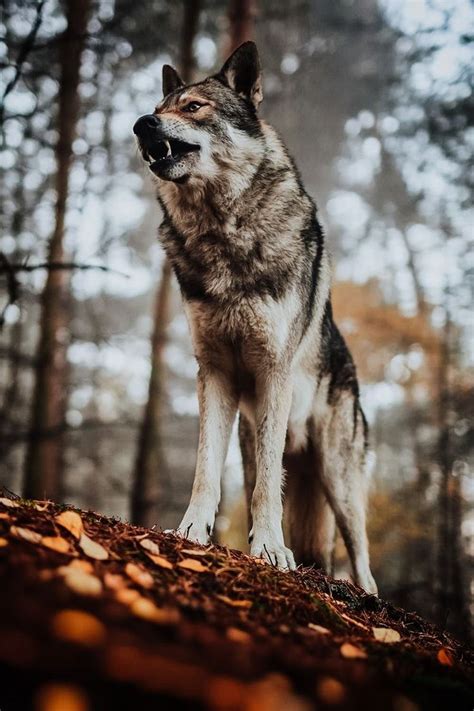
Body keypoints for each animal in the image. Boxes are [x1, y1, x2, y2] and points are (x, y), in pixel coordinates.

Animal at [133, 40, 378, 596]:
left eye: (194, 107)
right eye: (159, 108)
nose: (141, 124)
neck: (224, 234)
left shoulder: (273, 372)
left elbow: (269, 486)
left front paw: (269, 550)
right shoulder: (215, 373)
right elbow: (205, 469)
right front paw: (190, 532)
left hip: (339, 477)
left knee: (362, 556)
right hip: (255, 438)